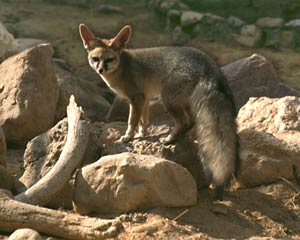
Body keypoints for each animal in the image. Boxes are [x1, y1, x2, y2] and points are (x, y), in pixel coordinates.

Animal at [79, 23, 239, 199]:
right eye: (95, 59)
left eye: (109, 59)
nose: (100, 70)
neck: (122, 67)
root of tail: (209, 64)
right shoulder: (145, 98)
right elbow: (143, 121)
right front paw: (141, 135)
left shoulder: (136, 98)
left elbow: (132, 121)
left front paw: (128, 137)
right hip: (183, 102)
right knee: (190, 121)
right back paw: (178, 137)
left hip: (168, 99)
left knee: (183, 121)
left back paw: (169, 139)